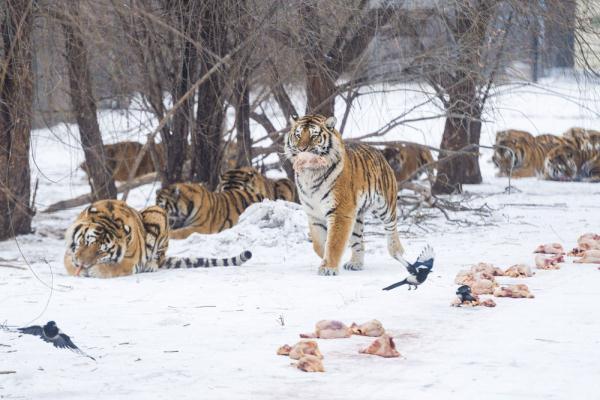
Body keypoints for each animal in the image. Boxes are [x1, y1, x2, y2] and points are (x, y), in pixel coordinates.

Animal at [64, 200, 252, 278]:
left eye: (101, 252)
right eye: (86, 242)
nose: (83, 265)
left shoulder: (130, 260)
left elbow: (113, 267)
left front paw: (96, 270)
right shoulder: (69, 252)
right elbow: (69, 262)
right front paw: (78, 269)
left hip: (157, 213)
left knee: (158, 256)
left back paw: (151, 266)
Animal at [284, 113, 414, 276]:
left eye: (314, 135)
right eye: (298, 135)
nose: (302, 149)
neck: (310, 174)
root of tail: (378, 152)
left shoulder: (340, 212)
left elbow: (334, 242)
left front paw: (328, 267)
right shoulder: (314, 214)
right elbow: (319, 244)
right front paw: (326, 259)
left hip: (385, 206)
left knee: (392, 228)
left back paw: (397, 252)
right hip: (356, 215)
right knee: (359, 241)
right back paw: (356, 263)